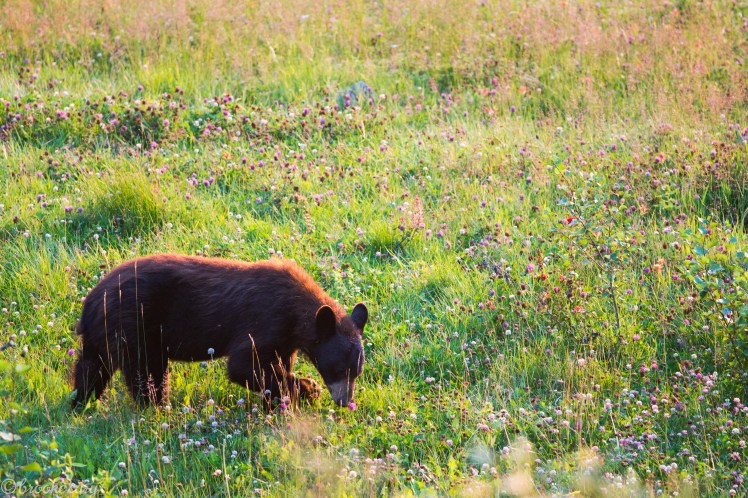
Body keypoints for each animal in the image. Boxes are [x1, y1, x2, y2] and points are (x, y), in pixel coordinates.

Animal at [71, 254, 368, 409]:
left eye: (357, 371)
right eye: (339, 369)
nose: (346, 401)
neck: (297, 311)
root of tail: (91, 301)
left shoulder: (286, 341)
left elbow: (276, 364)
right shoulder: (266, 321)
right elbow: (244, 365)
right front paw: (307, 387)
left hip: (102, 335)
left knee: (91, 368)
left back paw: (79, 403)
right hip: (135, 326)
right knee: (146, 372)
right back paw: (156, 406)